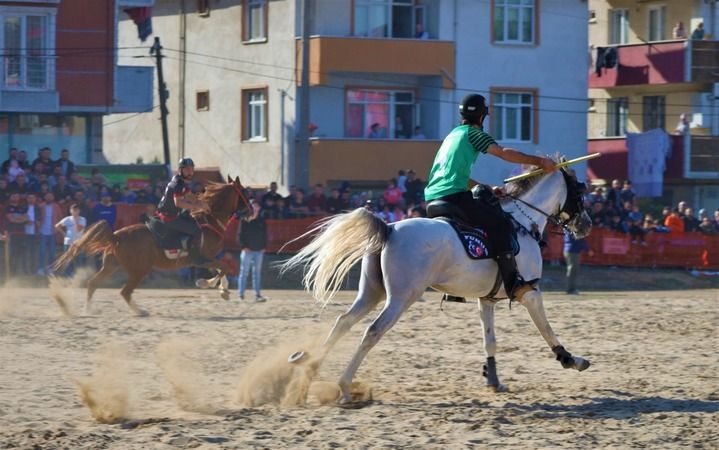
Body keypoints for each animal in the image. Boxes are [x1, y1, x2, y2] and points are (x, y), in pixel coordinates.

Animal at [53, 176, 252, 316]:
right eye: (244, 192)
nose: (252, 210)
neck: (209, 220)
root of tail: (116, 236)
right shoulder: (203, 259)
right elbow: (224, 268)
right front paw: (209, 285)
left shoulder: (207, 259)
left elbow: (221, 269)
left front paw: (222, 289)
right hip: (139, 270)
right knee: (125, 292)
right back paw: (139, 311)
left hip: (111, 265)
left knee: (93, 283)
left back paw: (88, 310)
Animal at [284, 166, 592, 404]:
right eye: (579, 192)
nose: (586, 225)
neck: (521, 224)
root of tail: (390, 228)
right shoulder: (531, 293)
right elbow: (547, 330)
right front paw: (570, 359)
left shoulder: (487, 299)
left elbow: (490, 340)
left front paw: (494, 380)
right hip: (401, 298)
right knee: (372, 332)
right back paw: (345, 386)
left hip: (371, 292)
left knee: (343, 322)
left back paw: (308, 372)